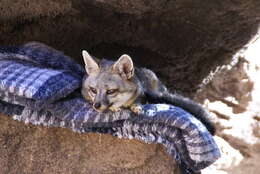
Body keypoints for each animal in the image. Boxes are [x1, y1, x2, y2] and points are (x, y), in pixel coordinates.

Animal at [81, 50, 215, 135]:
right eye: (93, 90)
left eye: (110, 91)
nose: (96, 106)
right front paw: (114, 108)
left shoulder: (142, 94)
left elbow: (139, 101)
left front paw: (136, 106)